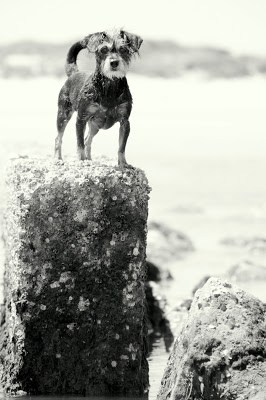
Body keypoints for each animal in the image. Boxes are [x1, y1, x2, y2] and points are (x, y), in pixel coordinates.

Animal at [54, 28, 143, 166]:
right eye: (103, 49)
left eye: (123, 49)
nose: (114, 62)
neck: (109, 87)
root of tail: (74, 73)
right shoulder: (81, 119)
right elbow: (79, 143)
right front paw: (81, 160)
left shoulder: (125, 122)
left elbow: (121, 147)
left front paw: (123, 164)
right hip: (64, 114)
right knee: (59, 138)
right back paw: (58, 159)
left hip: (95, 125)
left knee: (88, 139)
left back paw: (89, 158)